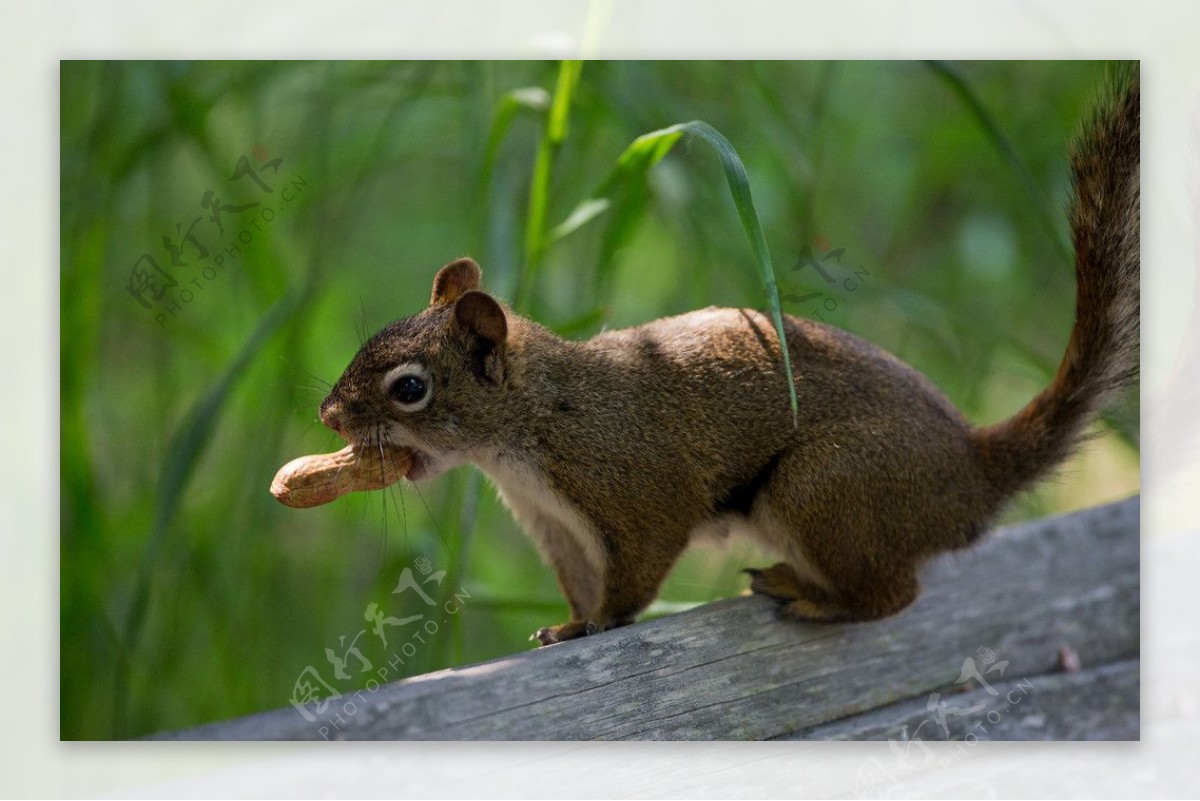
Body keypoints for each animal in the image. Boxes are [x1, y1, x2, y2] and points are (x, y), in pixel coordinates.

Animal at [316, 71, 1132, 647]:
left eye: (410, 388)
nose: (327, 415)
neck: (530, 424)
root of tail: (972, 472)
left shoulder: (637, 486)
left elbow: (638, 567)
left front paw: (603, 623)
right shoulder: (555, 526)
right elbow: (579, 583)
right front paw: (570, 624)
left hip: (825, 485)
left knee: (892, 595)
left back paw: (810, 596)